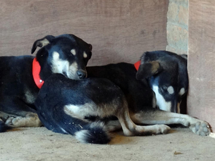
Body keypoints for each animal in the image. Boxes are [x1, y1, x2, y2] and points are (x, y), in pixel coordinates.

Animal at [35, 51, 212, 144]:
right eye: (164, 89)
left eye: (183, 95)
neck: (143, 78)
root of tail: (54, 105)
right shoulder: (140, 111)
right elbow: (177, 114)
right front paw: (197, 122)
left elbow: (176, 113)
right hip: (115, 91)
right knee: (129, 129)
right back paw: (157, 128)